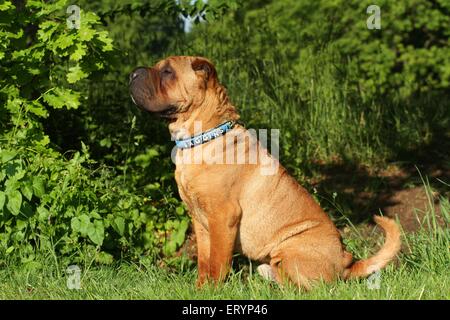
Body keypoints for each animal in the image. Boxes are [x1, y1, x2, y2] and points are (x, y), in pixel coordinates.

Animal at [128, 55, 400, 290]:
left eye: (167, 71)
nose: (133, 73)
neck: (203, 136)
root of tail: (347, 264)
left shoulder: (222, 217)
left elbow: (217, 262)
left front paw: (212, 291)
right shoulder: (200, 220)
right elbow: (204, 262)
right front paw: (200, 289)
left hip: (291, 248)